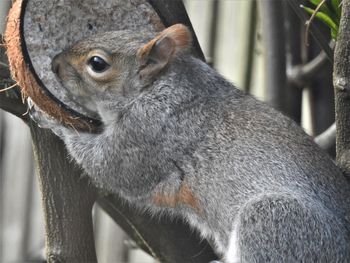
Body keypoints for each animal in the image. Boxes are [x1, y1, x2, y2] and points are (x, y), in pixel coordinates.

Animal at [29, 23, 350, 262]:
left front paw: (52, 120)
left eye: (97, 63)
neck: (161, 87)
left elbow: (109, 167)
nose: (55, 63)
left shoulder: (147, 135)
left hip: (275, 222)